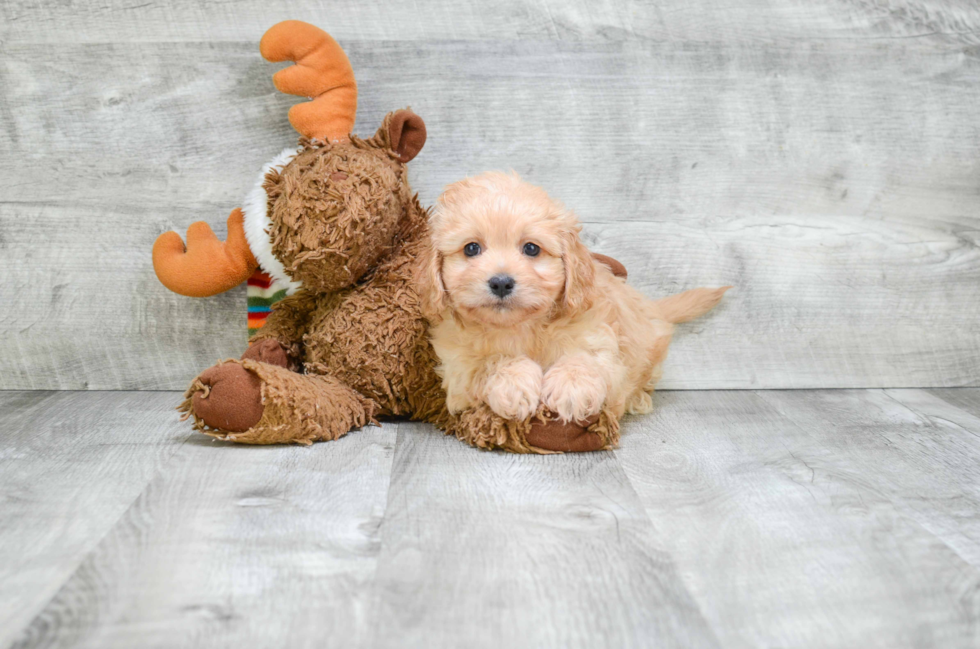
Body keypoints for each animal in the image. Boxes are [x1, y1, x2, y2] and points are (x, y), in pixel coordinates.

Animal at [418, 172, 724, 426]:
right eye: (471, 248)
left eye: (531, 249)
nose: (501, 282)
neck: (521, 328)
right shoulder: (457, 370)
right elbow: (490, 362)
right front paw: (515, 383)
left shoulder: (598, 336)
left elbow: (586, 358)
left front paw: (571, 388)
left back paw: (638, 398)